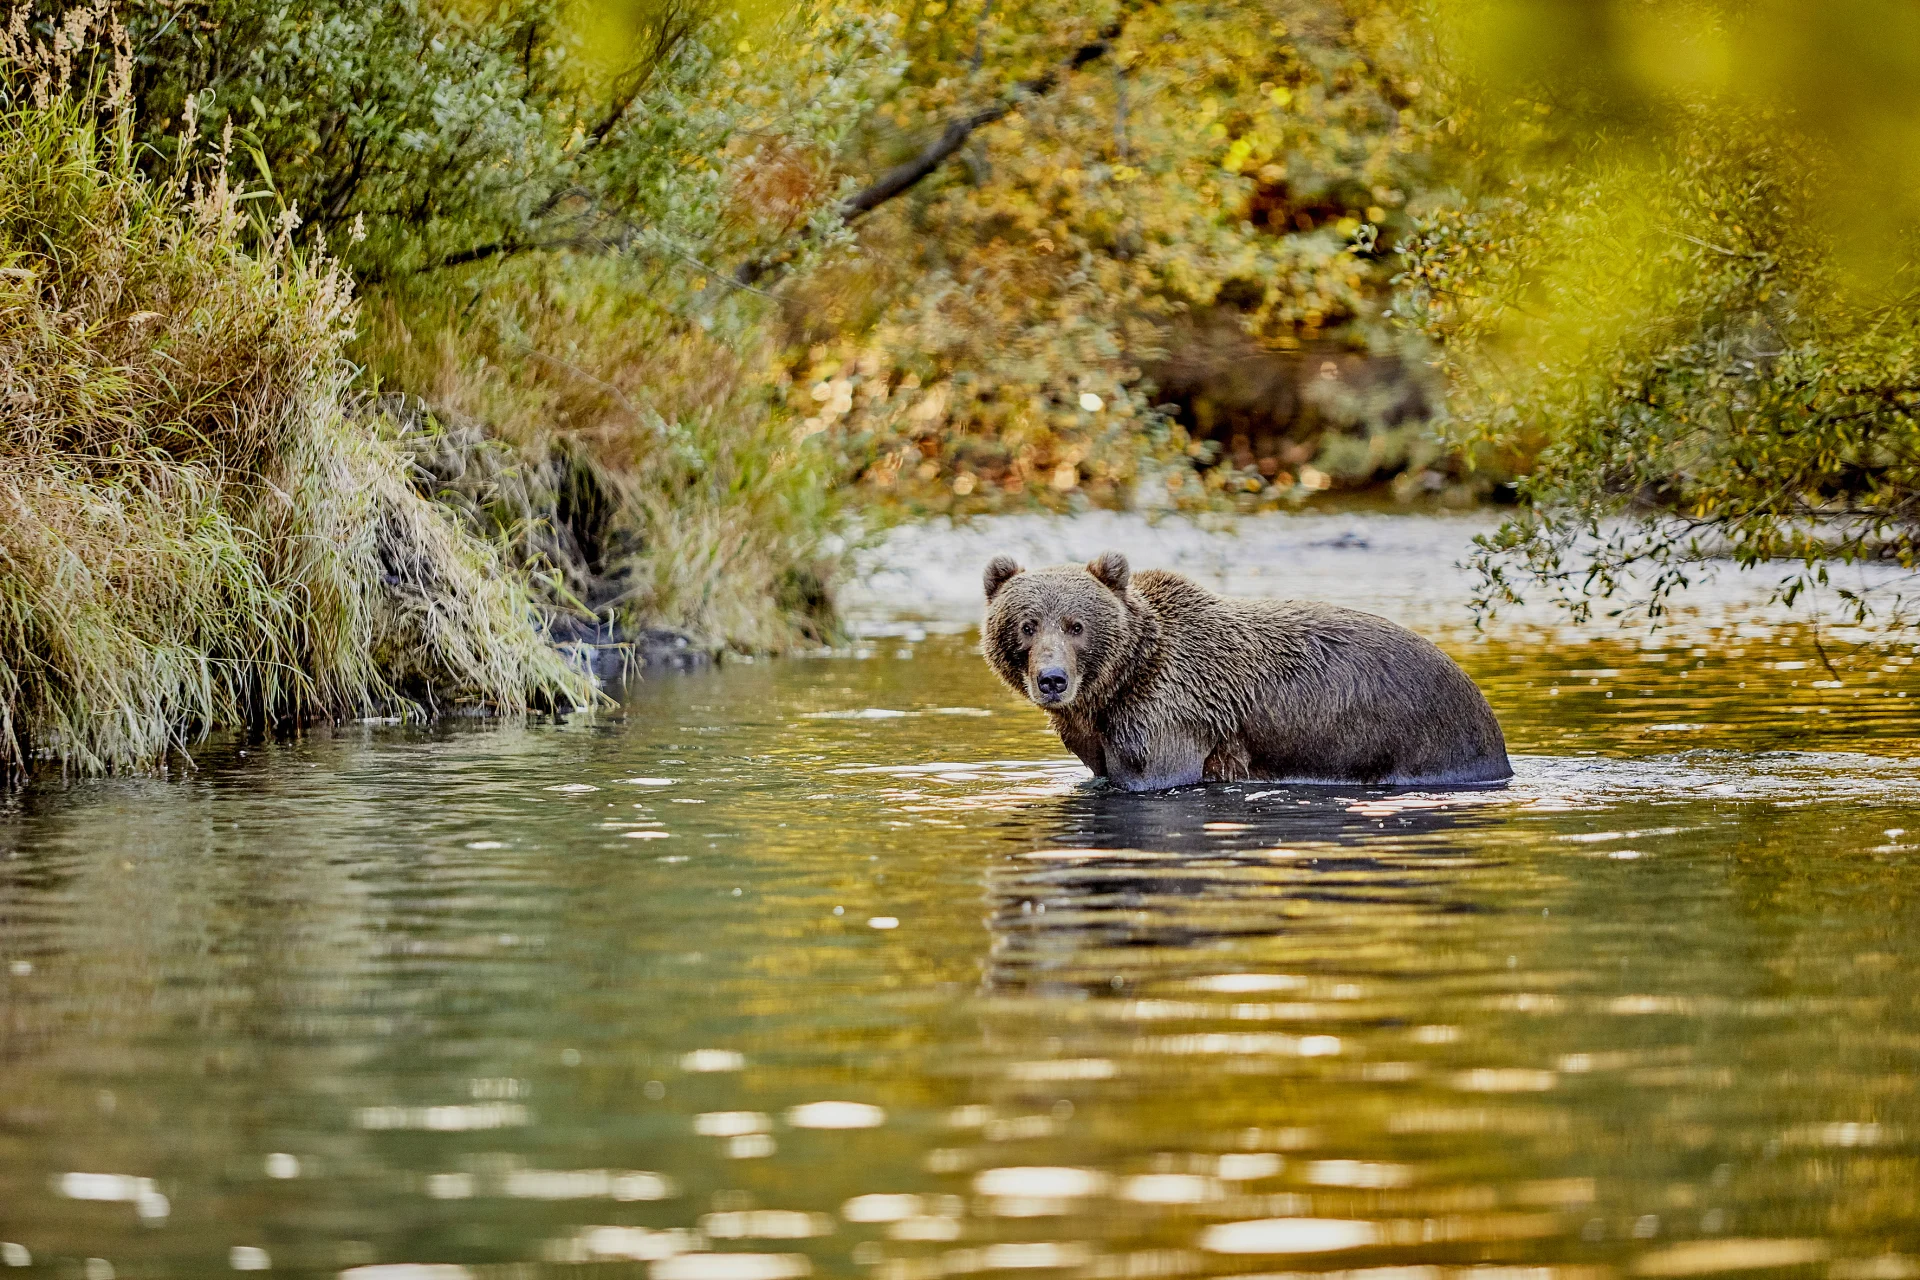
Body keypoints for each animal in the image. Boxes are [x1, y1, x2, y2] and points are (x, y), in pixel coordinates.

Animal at [983, 552, 1505, 790]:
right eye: (1028, 625)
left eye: (1077, 625)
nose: (1052, 679)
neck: (1117, 684)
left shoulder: (1170, 712)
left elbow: (1152, 774)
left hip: (1424, 738)